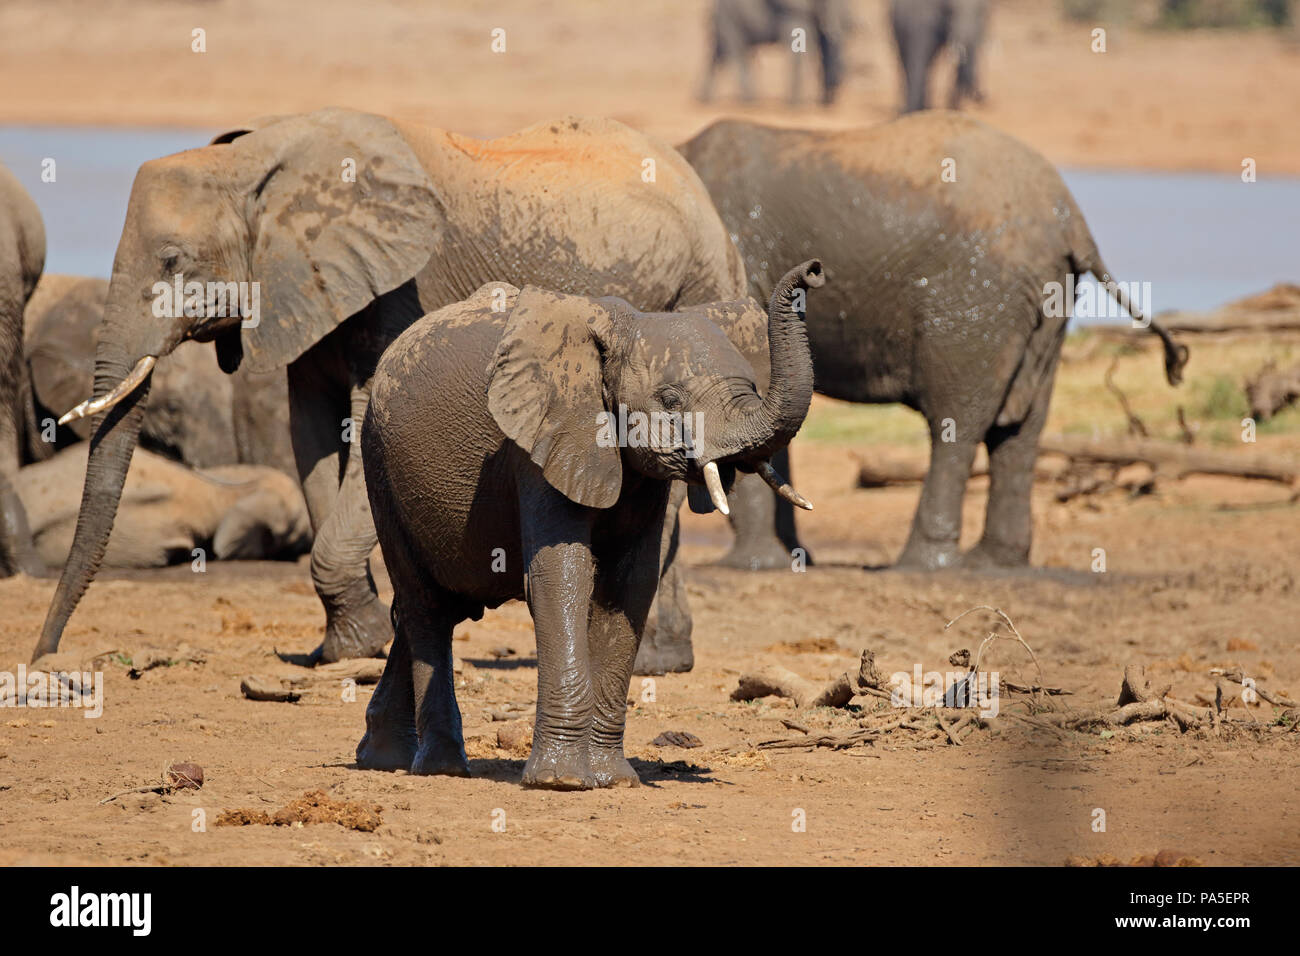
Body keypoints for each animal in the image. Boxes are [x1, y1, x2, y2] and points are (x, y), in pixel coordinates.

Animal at [355, 260, 823, 788]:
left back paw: (383, 757)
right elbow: (561, 576)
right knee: (426, 606)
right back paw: (442, 767)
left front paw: (613, 779)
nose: (813, 270)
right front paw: (559, 781)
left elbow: (631, 583)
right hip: (379, 463)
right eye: (670, 398)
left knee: (439, 605)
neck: (624, 328)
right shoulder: (542, 442)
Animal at [679, 112, 1188, 571]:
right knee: (1021, 426)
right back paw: (993, 562)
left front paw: (752, 566)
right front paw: (790, 560)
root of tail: (1072, 221)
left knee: (957, 418)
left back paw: (923, 564)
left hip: (976, 301)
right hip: (1046, 303)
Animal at [699, 0, 849, 106]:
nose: (827, 103)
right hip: (729, 19)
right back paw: (751, 102)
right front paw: (796, 106)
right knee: (737, 52)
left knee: (719, 54)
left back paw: (704, 99)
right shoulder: (788, 10)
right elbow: (800, 44)